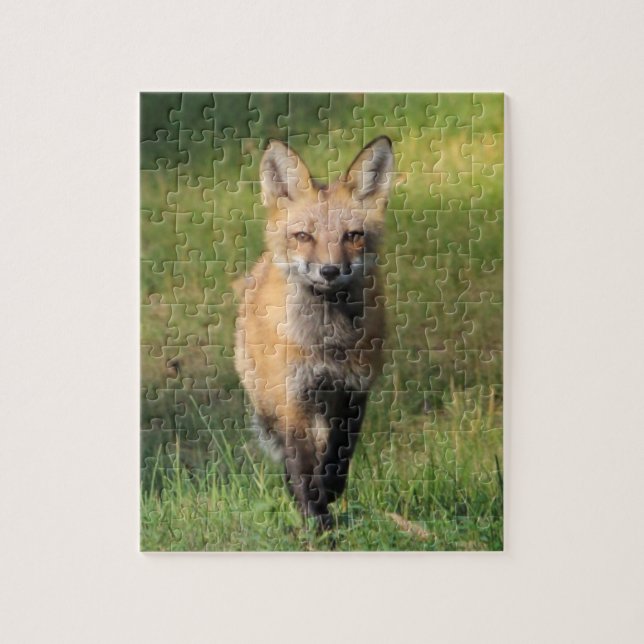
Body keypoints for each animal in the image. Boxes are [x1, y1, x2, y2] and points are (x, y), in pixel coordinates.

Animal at [234, 135, 394, 530]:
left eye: (353, 236)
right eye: (303, 236)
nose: (330, 271)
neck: (326, 342)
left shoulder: (353, 389)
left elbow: (339, 452)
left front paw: (331, 490)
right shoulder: (292, 398)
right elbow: (303, 467)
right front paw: (317, 520)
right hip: (268, 401)